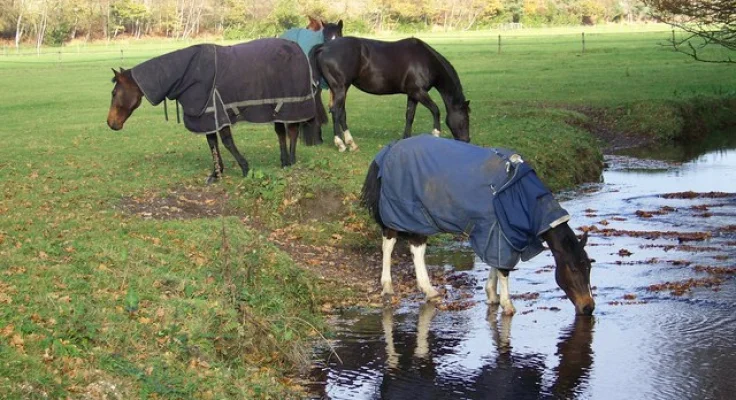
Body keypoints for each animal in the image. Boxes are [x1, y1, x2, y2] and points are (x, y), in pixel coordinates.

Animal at [107, 38, 327, 184]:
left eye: (114, 92)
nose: (111, 123)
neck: (187, 73)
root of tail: (297, 48)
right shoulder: (207, 116)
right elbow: (212, 143)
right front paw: (216, 173)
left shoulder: (217, 112)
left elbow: (227, 142)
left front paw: (245, 168)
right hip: (277, 108)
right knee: (282, 132)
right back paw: (284, 161)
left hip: (291, 106)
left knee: (292, 131)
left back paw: (291, 161)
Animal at [308, 37, 471, 152]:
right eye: (464, 120)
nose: (467, 141)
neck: (425, 60)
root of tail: (324, 46)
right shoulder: (419, 92)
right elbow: (435, 110)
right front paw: (436, 133)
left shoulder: (412, 94)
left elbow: (409, 116)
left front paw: (406, 138)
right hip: (341, 88)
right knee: (336, 111)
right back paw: (340, 144)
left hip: (339, 89)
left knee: (341, 112)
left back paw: (351, 143)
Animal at [360, 135, 595, 316]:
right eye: (573, 268)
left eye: (589, 267)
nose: (588, 307)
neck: (522, 195)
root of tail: (388, 151)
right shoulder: (498, 231)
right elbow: (503, 268)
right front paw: (507, 305)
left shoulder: (497, 231)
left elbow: (495, 263)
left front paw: (492, 294)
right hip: (400, 211)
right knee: (391, 243)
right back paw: (390, 286)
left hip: (417, 216)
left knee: (415, 247)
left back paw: (427, 290)